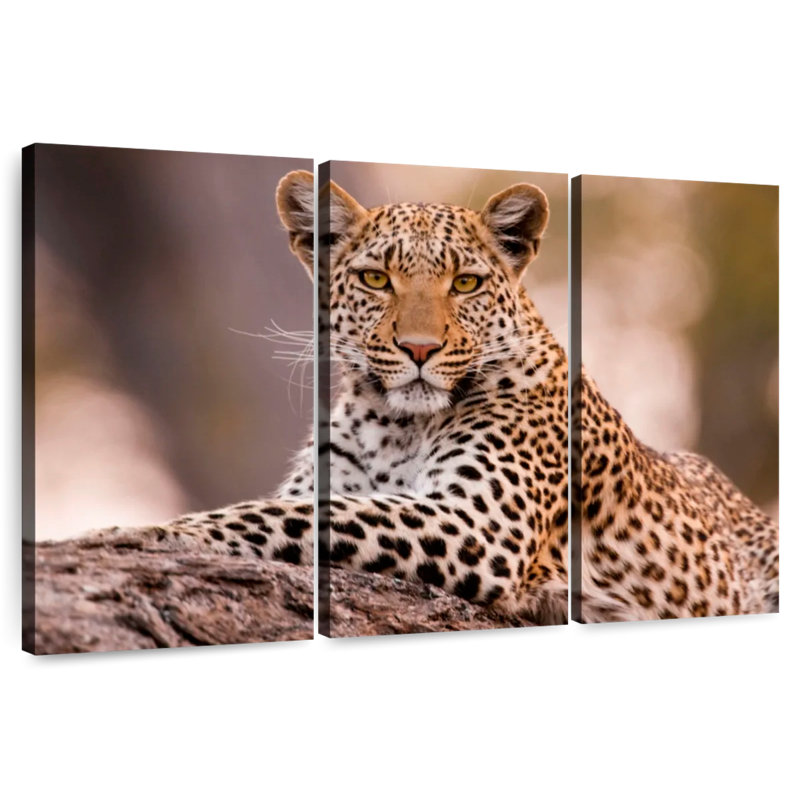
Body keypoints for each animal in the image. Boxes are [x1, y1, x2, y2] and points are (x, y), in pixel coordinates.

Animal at [95, 168, 571, 626]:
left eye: (466, 283)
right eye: (376, 279)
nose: (419, 349)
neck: (397, 427)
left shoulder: (481, 522)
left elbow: (291, 513)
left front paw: (143, 533)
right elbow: (293, 507)